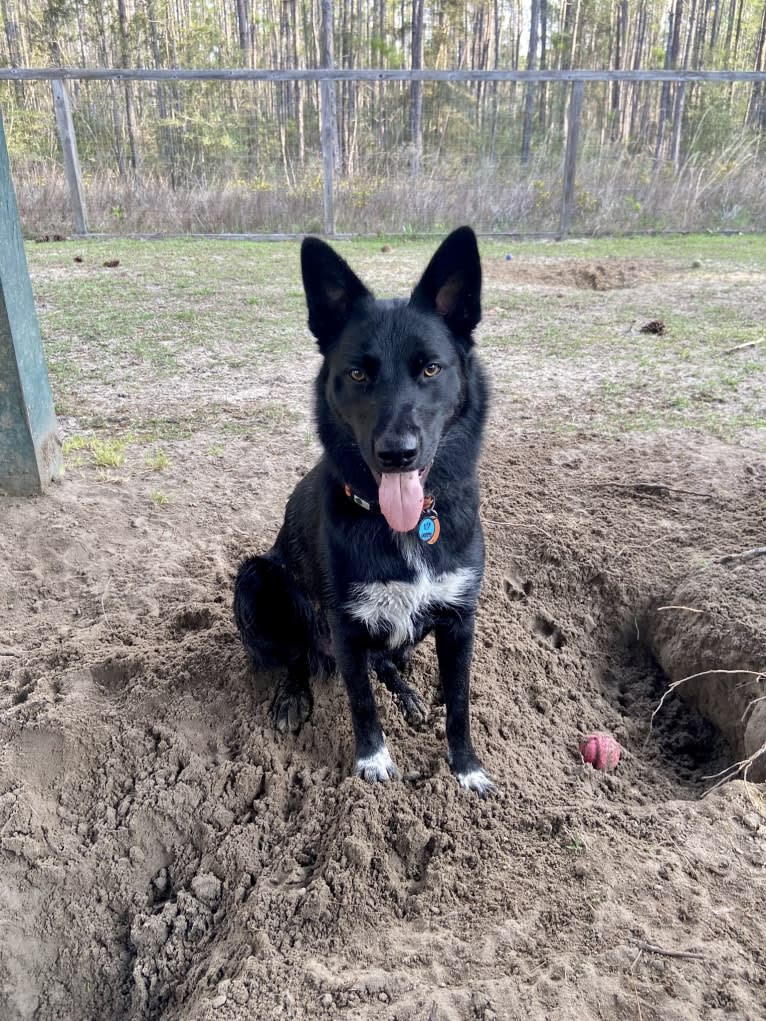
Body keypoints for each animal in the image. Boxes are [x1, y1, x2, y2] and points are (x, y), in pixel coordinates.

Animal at [233, 227, 494, 792]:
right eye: (356, 375)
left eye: (431, 368)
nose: (397, 453)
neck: (404, 526)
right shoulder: (346, 625)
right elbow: (361, 703)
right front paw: (373, 763)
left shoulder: (459, 618)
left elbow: (459, 702)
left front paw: (466, 768)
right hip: (258, 578)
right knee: (297, 657)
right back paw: (294, 695)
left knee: (389, 662)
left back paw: (410, 694)